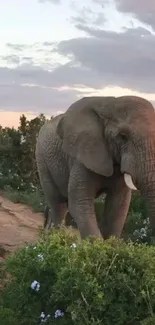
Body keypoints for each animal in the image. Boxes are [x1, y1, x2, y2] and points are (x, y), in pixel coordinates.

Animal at [35, 95, 155, 239]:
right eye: (123, 136)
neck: (112, 103)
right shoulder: (82, 156)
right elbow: (80, 203)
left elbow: (118, 207)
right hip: (42, 159)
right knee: (58, 205)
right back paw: (54, 237)